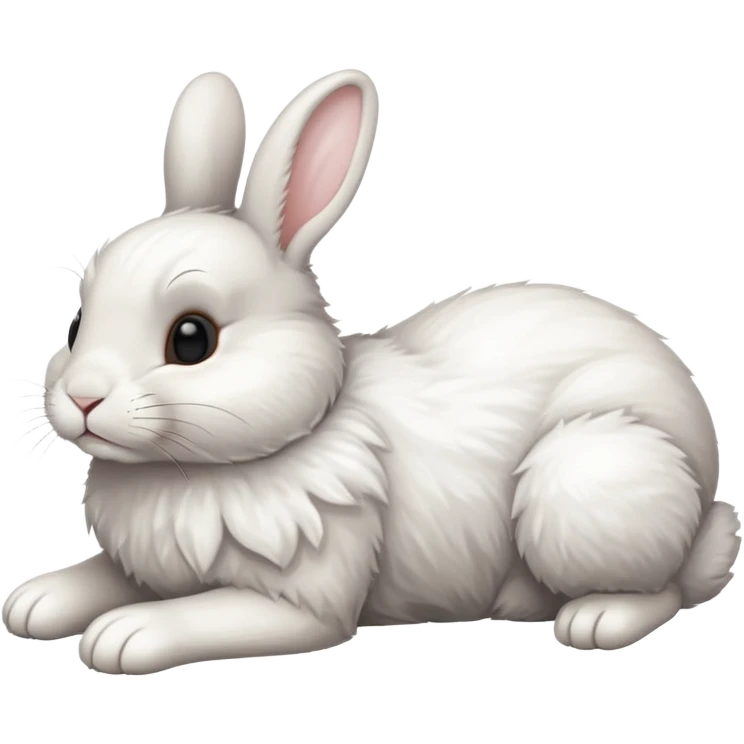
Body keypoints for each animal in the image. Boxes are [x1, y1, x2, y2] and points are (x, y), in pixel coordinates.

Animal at [3, 68, 740, 676]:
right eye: (76, 327)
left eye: (192, 338)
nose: (82, 399)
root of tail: (704, 474)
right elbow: (101, 574)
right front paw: (33, 601)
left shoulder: (300, 603)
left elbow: (200, 614)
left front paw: (125, 633)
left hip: (587, 480)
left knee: (668, 585)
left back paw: (594, 617)